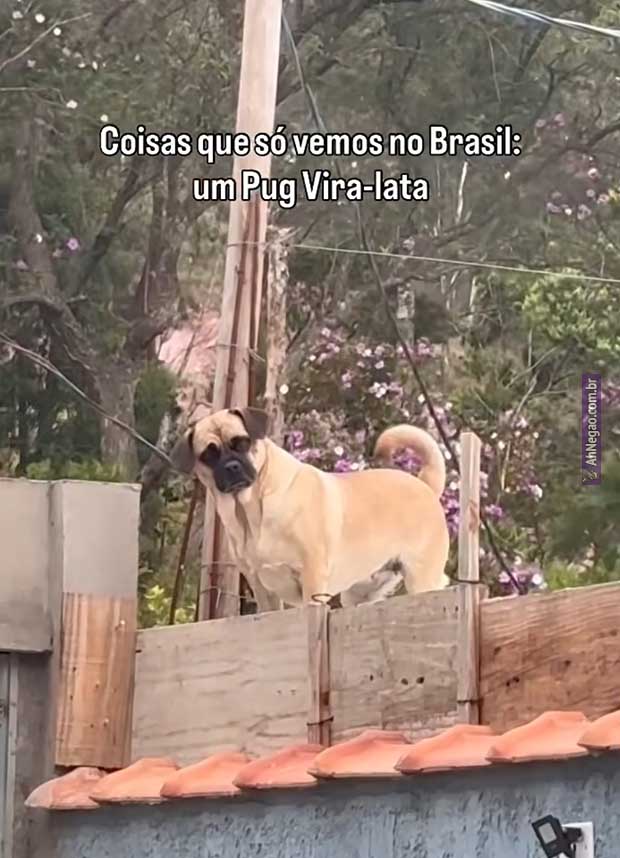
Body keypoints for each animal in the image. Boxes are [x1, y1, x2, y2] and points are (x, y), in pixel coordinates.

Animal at [171, 407, 450, 611]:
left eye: (242, 443)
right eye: (208, 455)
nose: (231, 466)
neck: (251, 511)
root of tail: (425, 485)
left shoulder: (312, 577)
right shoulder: (262, 589)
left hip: (420, 578)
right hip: (361, 592)